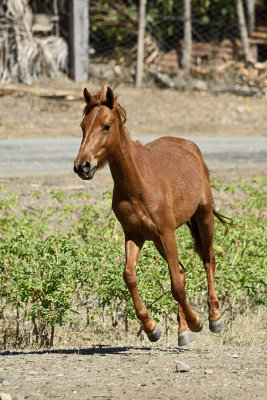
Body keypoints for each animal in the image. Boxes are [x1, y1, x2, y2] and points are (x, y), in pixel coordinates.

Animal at [74, 86, 229, 346]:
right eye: (83, 125)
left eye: (106, 126)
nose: (82, 166)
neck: (137, 184)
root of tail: (190, 146)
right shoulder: (135, 235)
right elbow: (130, 276)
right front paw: (151, 327)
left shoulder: (167, 233)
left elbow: (176, 285)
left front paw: (197, 321)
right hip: (158, 240)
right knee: (182, 271)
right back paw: (183, 332)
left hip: (203, 217)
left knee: (208, 259)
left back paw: (214, 318)